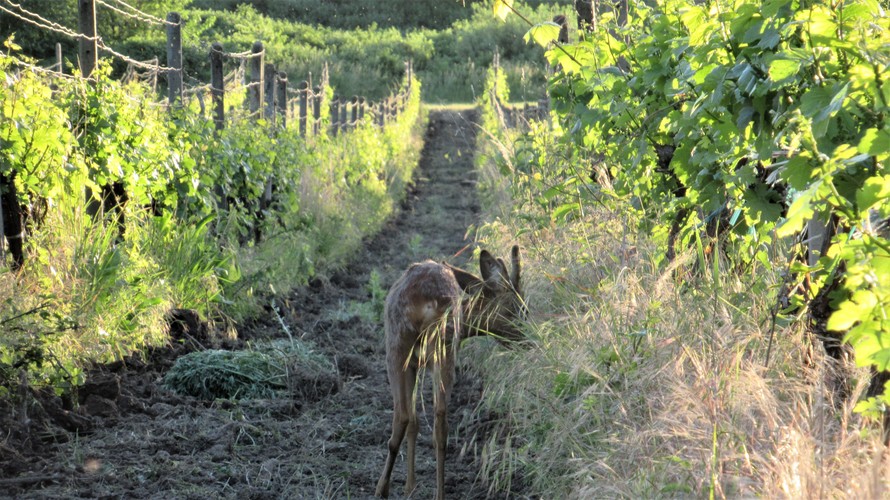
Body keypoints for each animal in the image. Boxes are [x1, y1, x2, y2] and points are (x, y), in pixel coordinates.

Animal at [372, 246, 524, 500]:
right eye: (518, 309)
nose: (531, 338)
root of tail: (427, 302)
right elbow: (415, 422)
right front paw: (410, 486)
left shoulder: (414, 363)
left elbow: (413, 421)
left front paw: (409, 486)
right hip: (435, 349)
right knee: (434, 422)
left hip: (399, 346)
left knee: (406, 417)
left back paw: (382, 489)